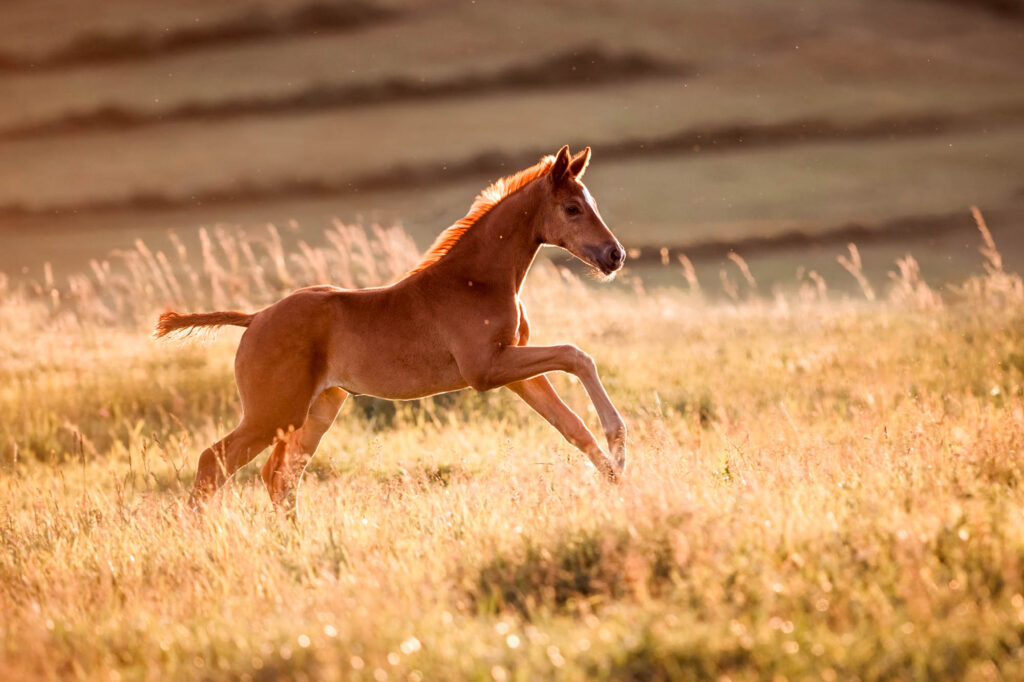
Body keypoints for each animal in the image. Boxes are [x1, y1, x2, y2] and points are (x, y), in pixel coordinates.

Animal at [155, 145, 627, 517]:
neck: (475, 280)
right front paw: (620, 449)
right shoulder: (487, 369)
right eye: (572, 208)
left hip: (317, 410)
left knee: (280, 476)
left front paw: (619, 480)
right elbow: (576, 355)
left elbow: (571, 424)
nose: (615, 255)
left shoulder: (514, 371)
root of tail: (255, 318)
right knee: (215, 461)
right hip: (273, 413)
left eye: (592, 204)